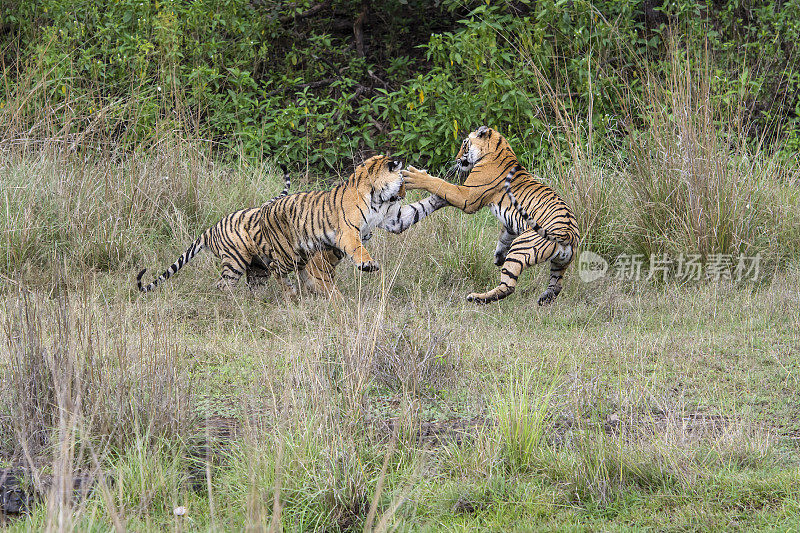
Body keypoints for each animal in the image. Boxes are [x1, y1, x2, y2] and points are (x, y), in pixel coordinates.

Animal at [260, 154, 412, 300]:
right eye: (402, 181)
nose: (404, 194)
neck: (376, 198)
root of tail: (266, 207)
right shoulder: (348, 232)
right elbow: (358, 249)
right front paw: (368, 264)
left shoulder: (391, 220)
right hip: (288, 254)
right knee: (274, 267)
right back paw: (291, 293)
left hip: (301, 255)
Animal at [400, 125, 580, 306]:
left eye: (464, 144)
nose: (457, 159)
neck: (498, 148)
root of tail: (569, 234)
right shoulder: (508, 224)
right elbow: (504, 237)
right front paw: (499, 256)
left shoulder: (467, 196)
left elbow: (440, 183)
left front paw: (413, 176)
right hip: (559, 264)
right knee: (556, 286)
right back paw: (544, 298)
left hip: (522, 247)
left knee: (508, 286)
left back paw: (476, 297)